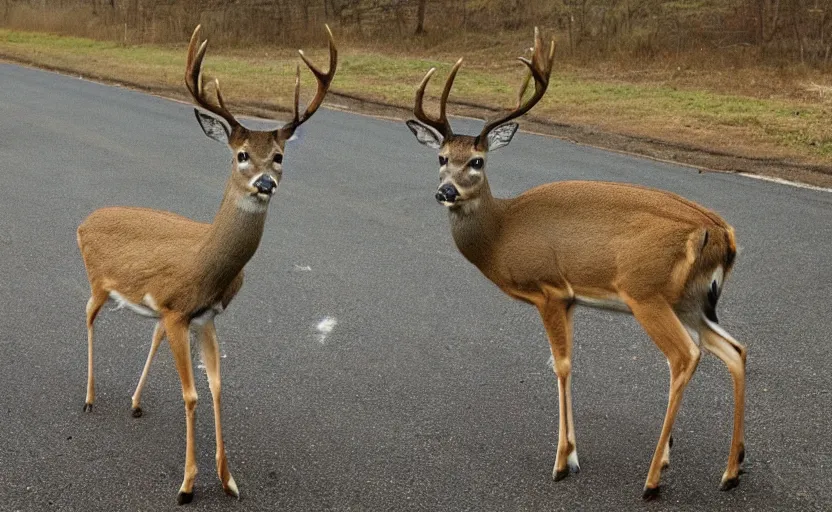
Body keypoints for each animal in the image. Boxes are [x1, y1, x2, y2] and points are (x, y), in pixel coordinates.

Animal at [76, 25, 336, 504]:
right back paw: (88, 397)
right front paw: (187, 485)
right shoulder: (177, 311)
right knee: (87, 316)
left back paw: (135, 402)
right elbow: (191, 395)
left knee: (148, 332)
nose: (265, 183)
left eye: (279, 156)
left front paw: (229, 480)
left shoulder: (203, 316)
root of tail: (84, 222)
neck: (208, 265)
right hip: (98, 280)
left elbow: (215, 387)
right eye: (241, 155)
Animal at [404, 29, 748, 500]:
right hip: (691, 300)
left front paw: (561, 462)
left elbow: (561, 365)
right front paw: (572, 454)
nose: (446, 192)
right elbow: (565, 364)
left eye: (476, 161)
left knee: (684, 356)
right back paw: (731, 470)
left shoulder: (548, 289)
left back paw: (653, 479)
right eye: (440, 158)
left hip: (646, 291)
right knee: (735, 351)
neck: (501, 233)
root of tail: (721, 232)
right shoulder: (569, 300)